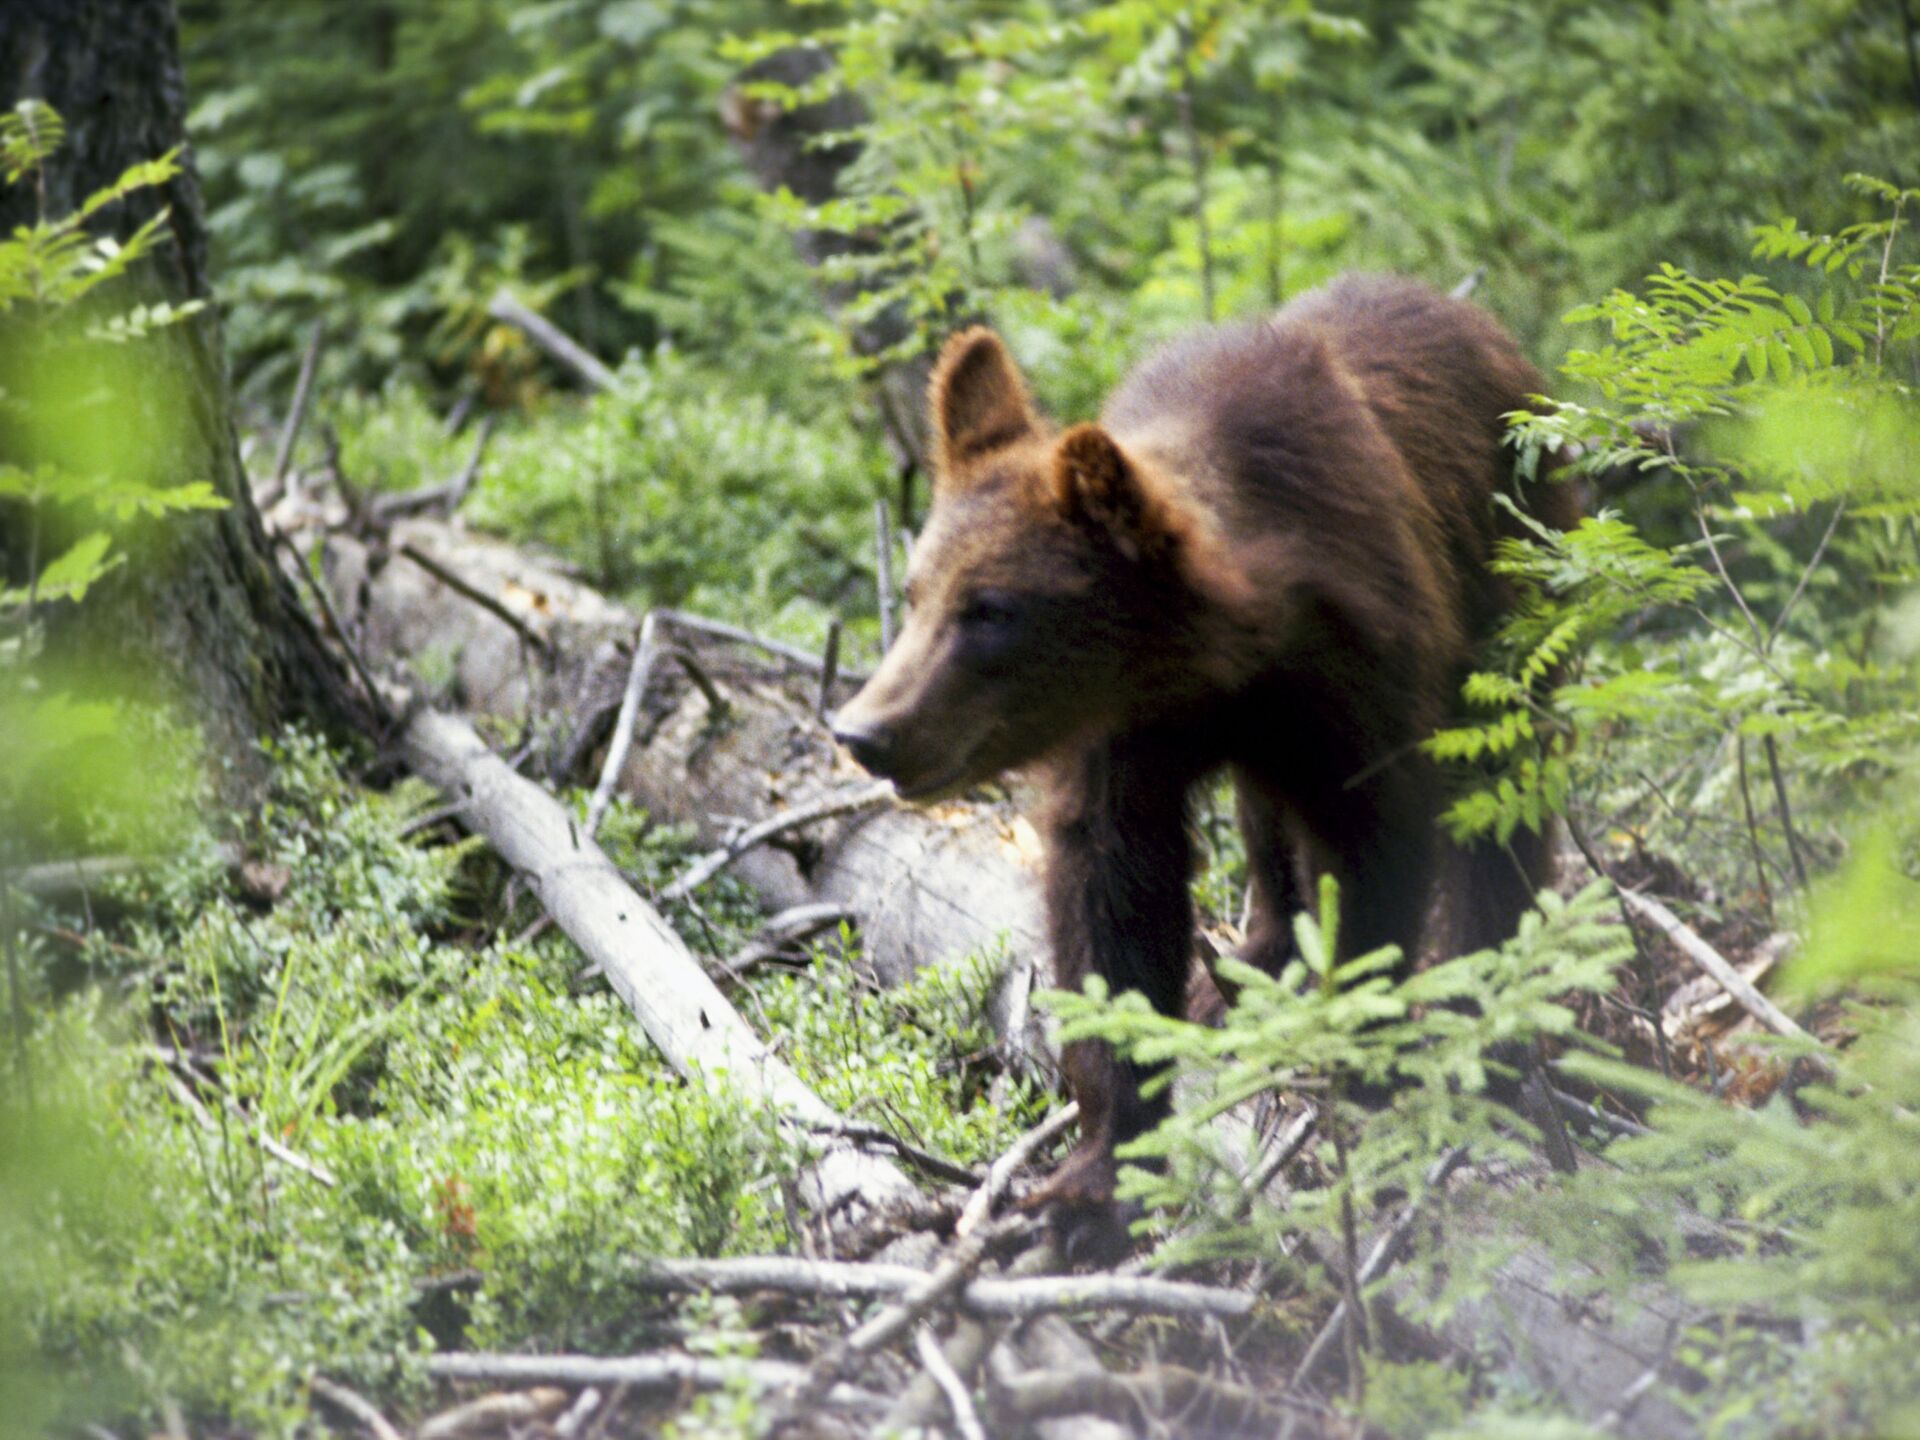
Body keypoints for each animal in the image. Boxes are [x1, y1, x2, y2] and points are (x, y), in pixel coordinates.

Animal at [837, 272, 1574, 1244]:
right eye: (918, 591)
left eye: (990, 609)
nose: (866, 730)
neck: (1219, 665)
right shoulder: (1126, 744)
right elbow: (1114, 902)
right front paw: (1093, 1176)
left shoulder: (1360, 682)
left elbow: (1377, 852)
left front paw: (1367, 1070)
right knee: (1267, 824)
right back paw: (1246, 969)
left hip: (1512, 592)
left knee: (1504, 798)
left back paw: (1488, 1006)